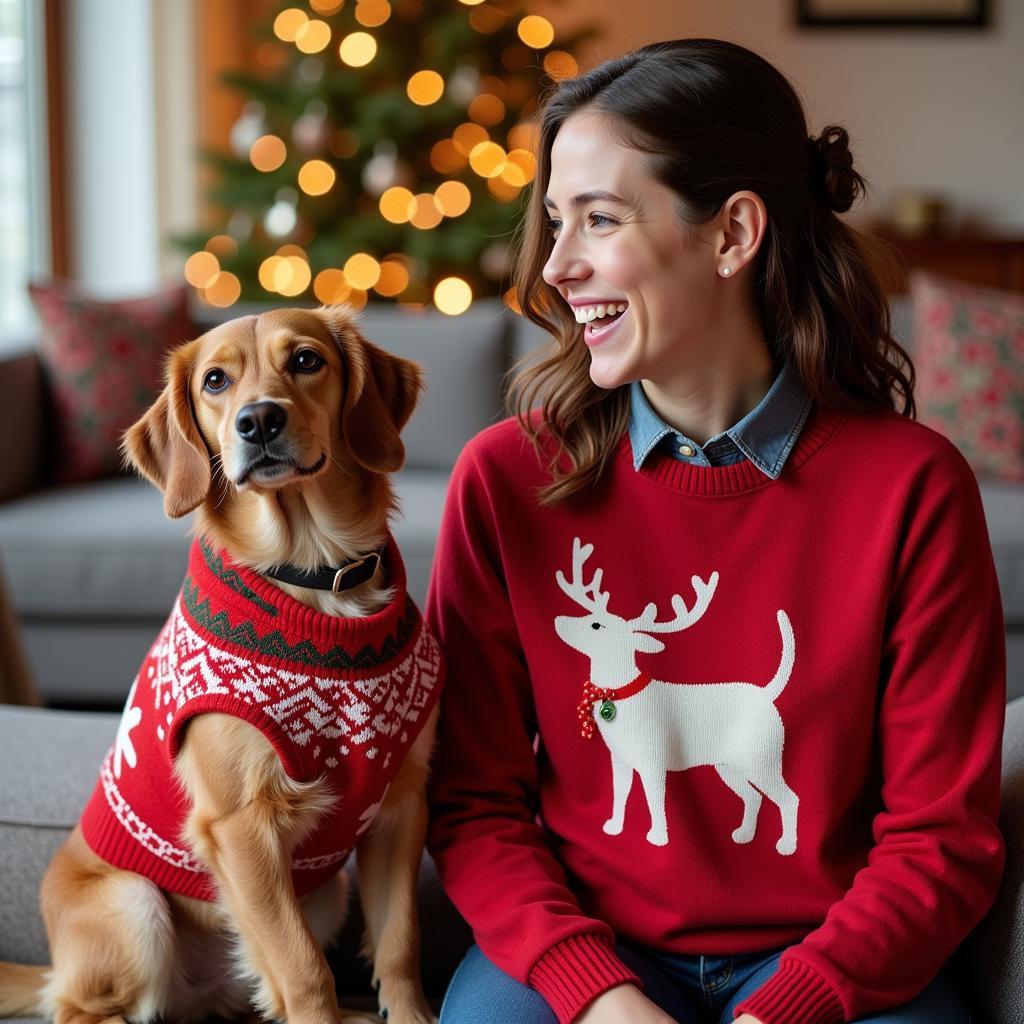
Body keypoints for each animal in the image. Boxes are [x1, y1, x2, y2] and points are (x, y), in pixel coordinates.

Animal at [3, 305, 444, 1024]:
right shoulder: (240, 828)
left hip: (325, 896)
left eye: (306, 360)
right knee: (87, 1010)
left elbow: (399, 946)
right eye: (215, 380)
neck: (314, 576)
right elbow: (306, 973)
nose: (258, 420)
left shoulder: (401, 805)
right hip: (135, 907)